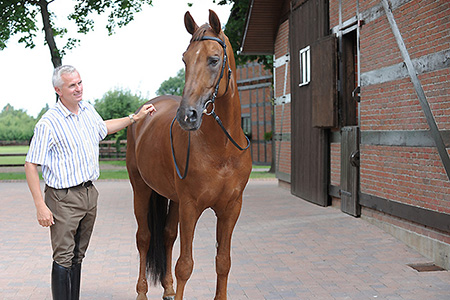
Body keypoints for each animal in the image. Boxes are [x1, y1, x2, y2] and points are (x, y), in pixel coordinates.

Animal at [126, 9, 253, 300]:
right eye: (184, 59)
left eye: (214, 59)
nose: (187, 116)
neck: (221, 150)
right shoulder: (190, 206)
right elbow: (185, 265)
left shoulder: (231, 208)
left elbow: (223, 262)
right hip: (141, 188)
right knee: (144, 238)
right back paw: (141, 292)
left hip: (171, 197)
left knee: (167, 235)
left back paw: (168, 288)